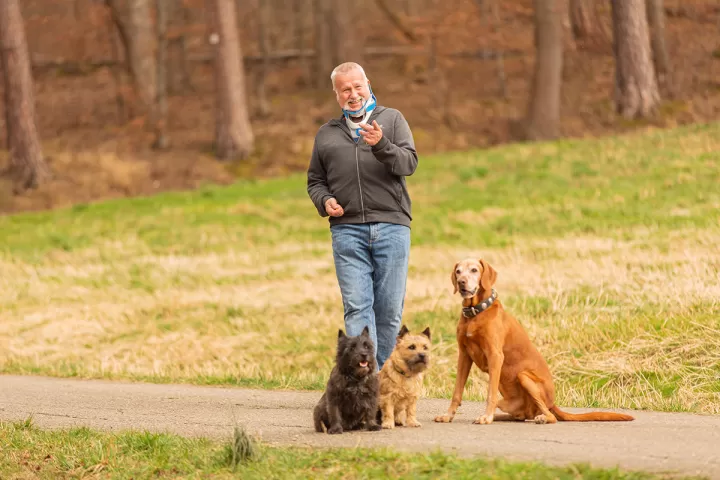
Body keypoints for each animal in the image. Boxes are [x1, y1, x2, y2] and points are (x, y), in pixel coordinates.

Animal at [436, 258, 632, 424]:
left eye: (474, 270)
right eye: (458, 271)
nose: (461, 282)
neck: (475, 314)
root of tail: (553, 403)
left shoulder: (495, 355)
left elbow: (490, 393)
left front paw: (486, 417)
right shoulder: (464, 356)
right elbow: (457, 392)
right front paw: (448, 416)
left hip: (525, 377)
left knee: (550, 416)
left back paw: (541, 418)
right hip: (510, 401)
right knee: (521, 416)